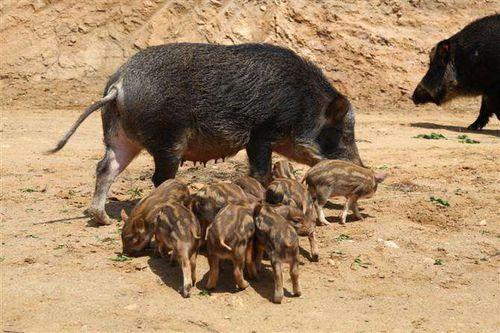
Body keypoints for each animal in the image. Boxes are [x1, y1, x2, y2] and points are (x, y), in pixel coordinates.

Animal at [47, 42, 364, 223]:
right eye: (345, 134)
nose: (364, 168)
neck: (301, 105)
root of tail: (119, 84)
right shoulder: (261, 133)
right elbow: (260, 172)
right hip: (167, 138)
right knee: (159, 178)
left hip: (120, 136)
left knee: (105, 168)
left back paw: (102, 219)